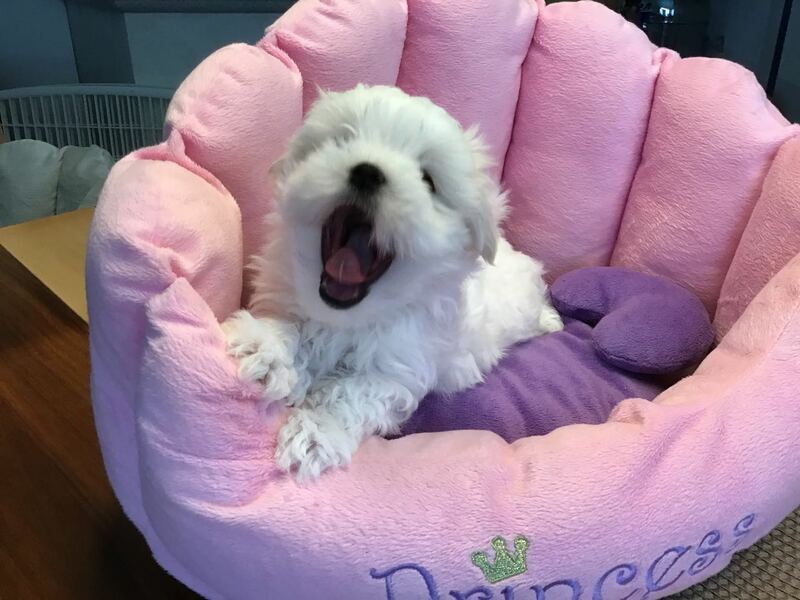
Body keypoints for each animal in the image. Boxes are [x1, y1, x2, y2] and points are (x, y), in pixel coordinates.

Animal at [223, 85, 562, 481]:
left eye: (428, 180)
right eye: (342, 140)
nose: (367, 172)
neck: (346, 317)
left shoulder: (398, 370)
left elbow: (350, 394)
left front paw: (316, 435)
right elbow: (290, 328)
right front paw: (265, 346)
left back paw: (550, 321)